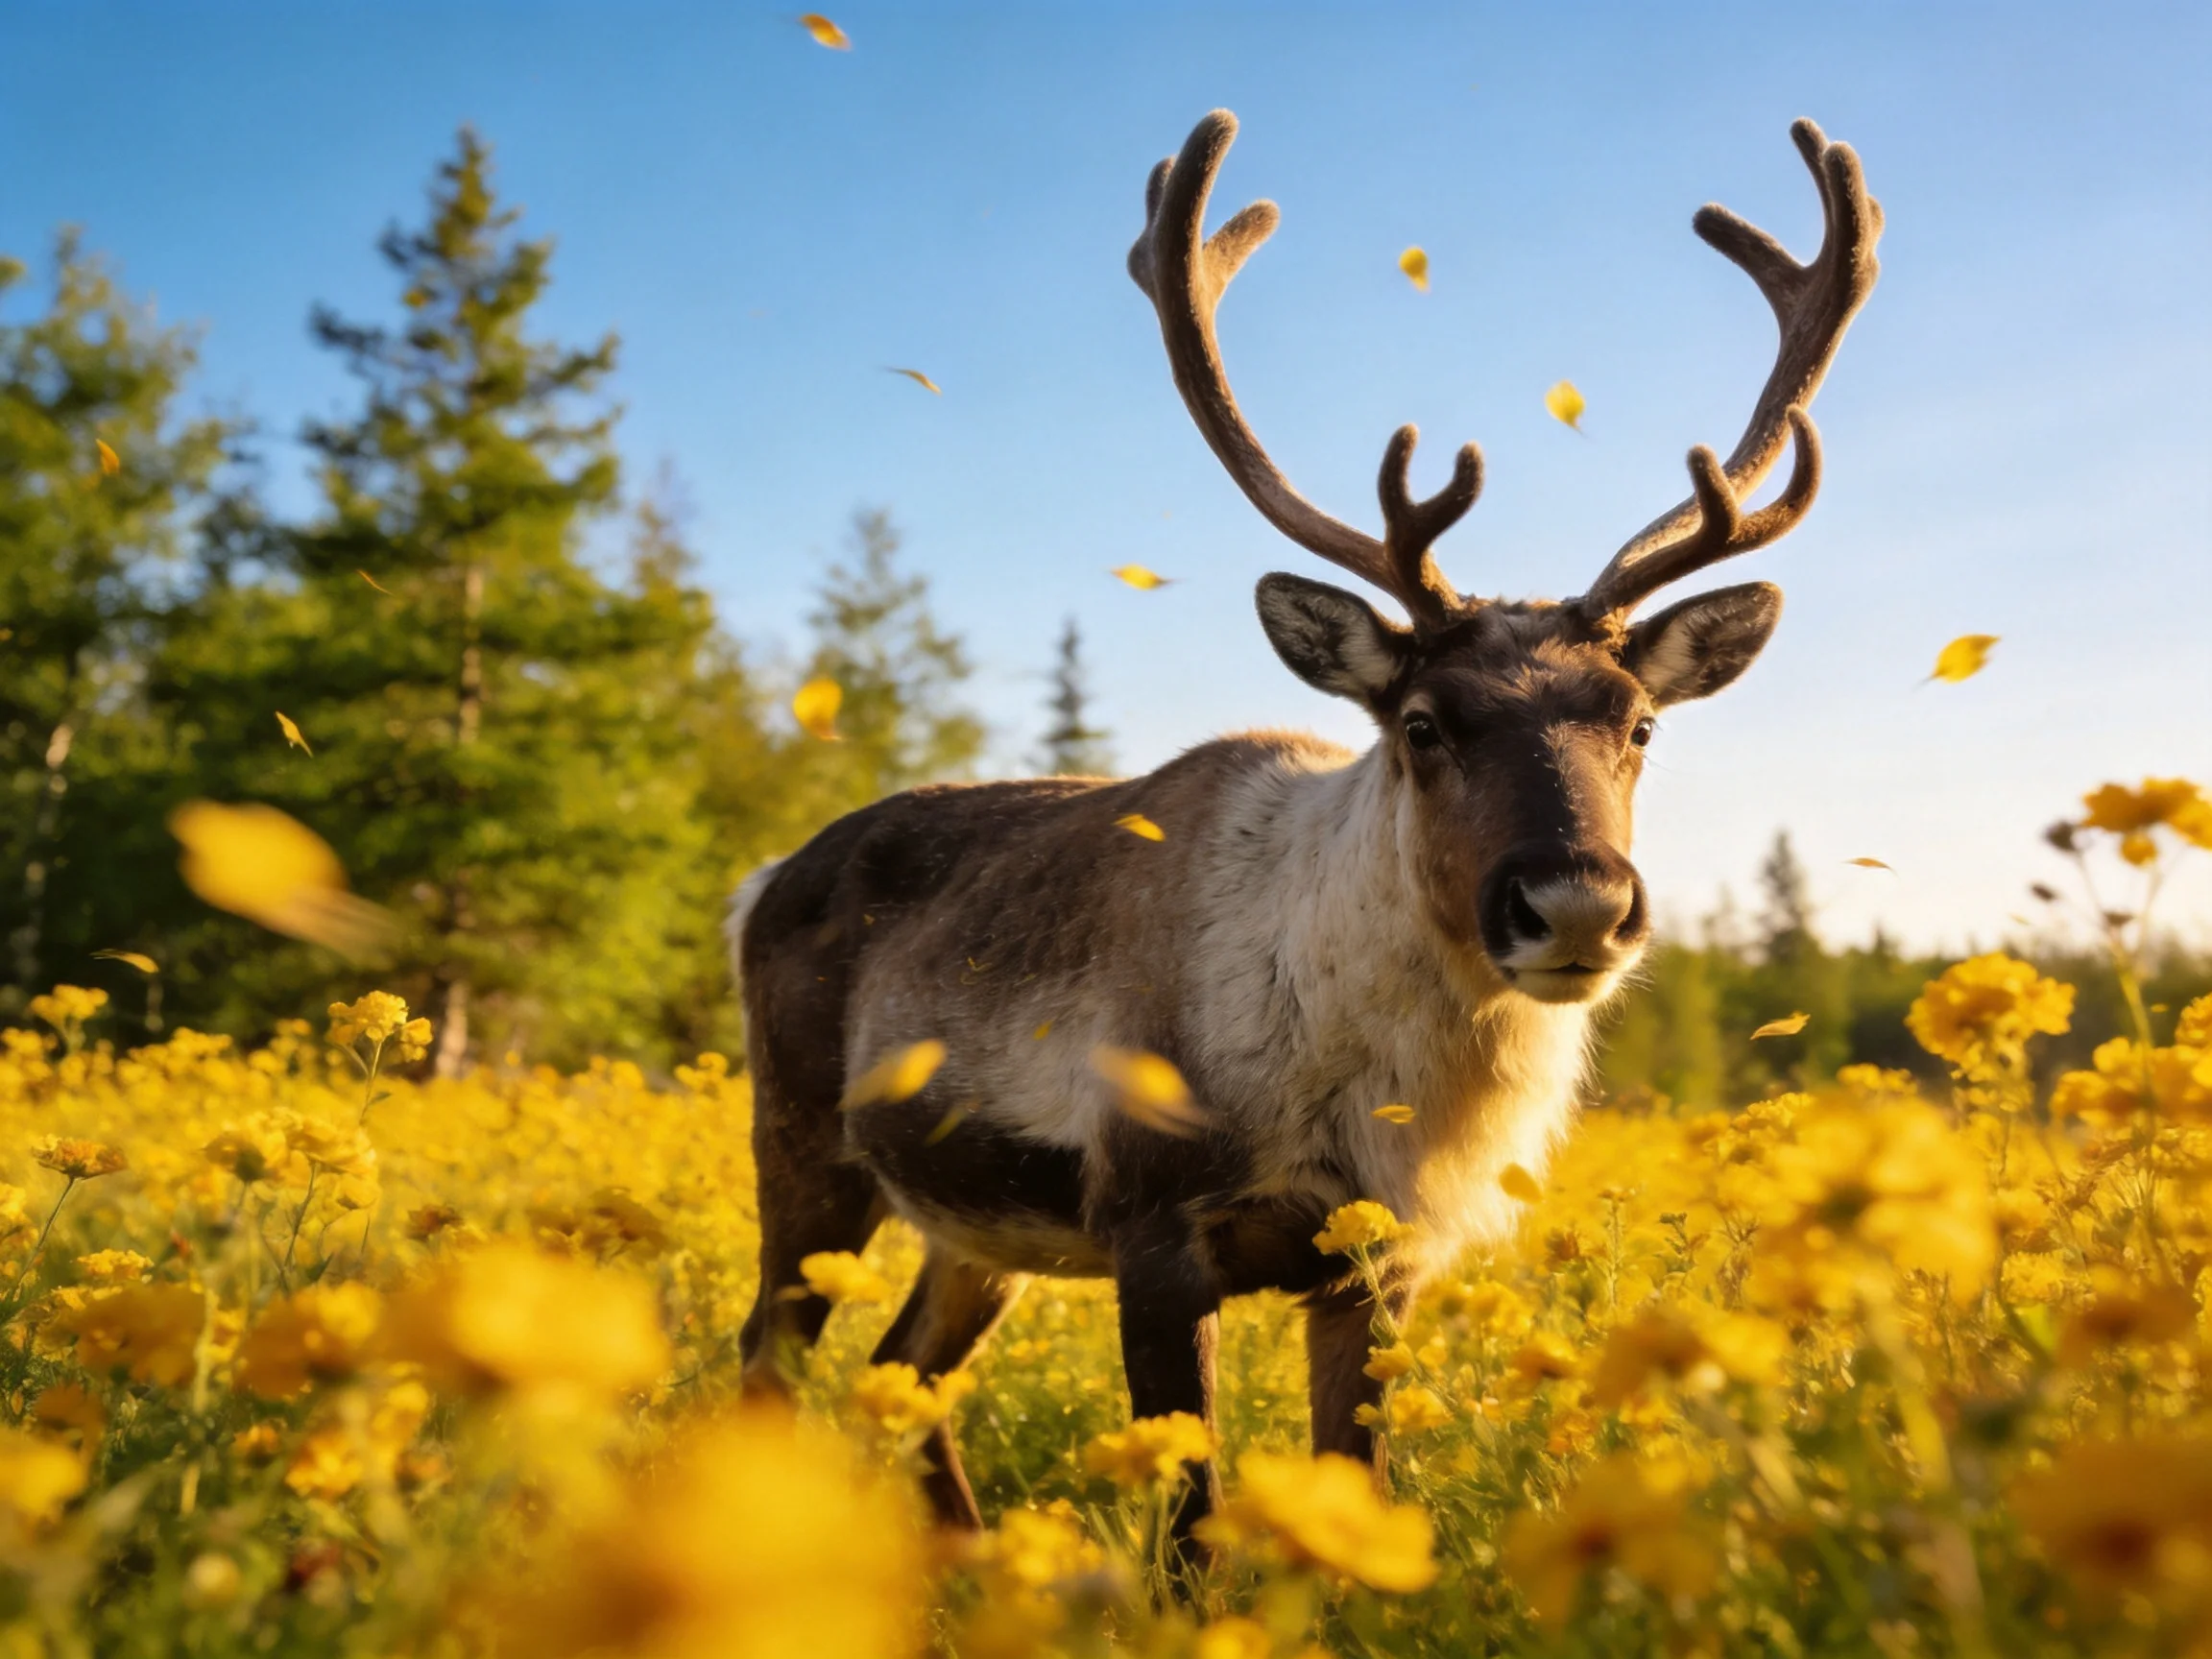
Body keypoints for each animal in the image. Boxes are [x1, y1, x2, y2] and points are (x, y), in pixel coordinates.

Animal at [732, 109, 1880, 1541]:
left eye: (1641, 725)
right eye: (1423, 722)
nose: (1578, 902)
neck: (1373, 1091)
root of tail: (762, 878)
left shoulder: (1380, 1266)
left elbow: (1356, 1493)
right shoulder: (1157, 1231)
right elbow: (1193, 1529)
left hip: (972, 1231)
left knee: (902, 1374)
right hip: (806, 1155)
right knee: (768, 1360)